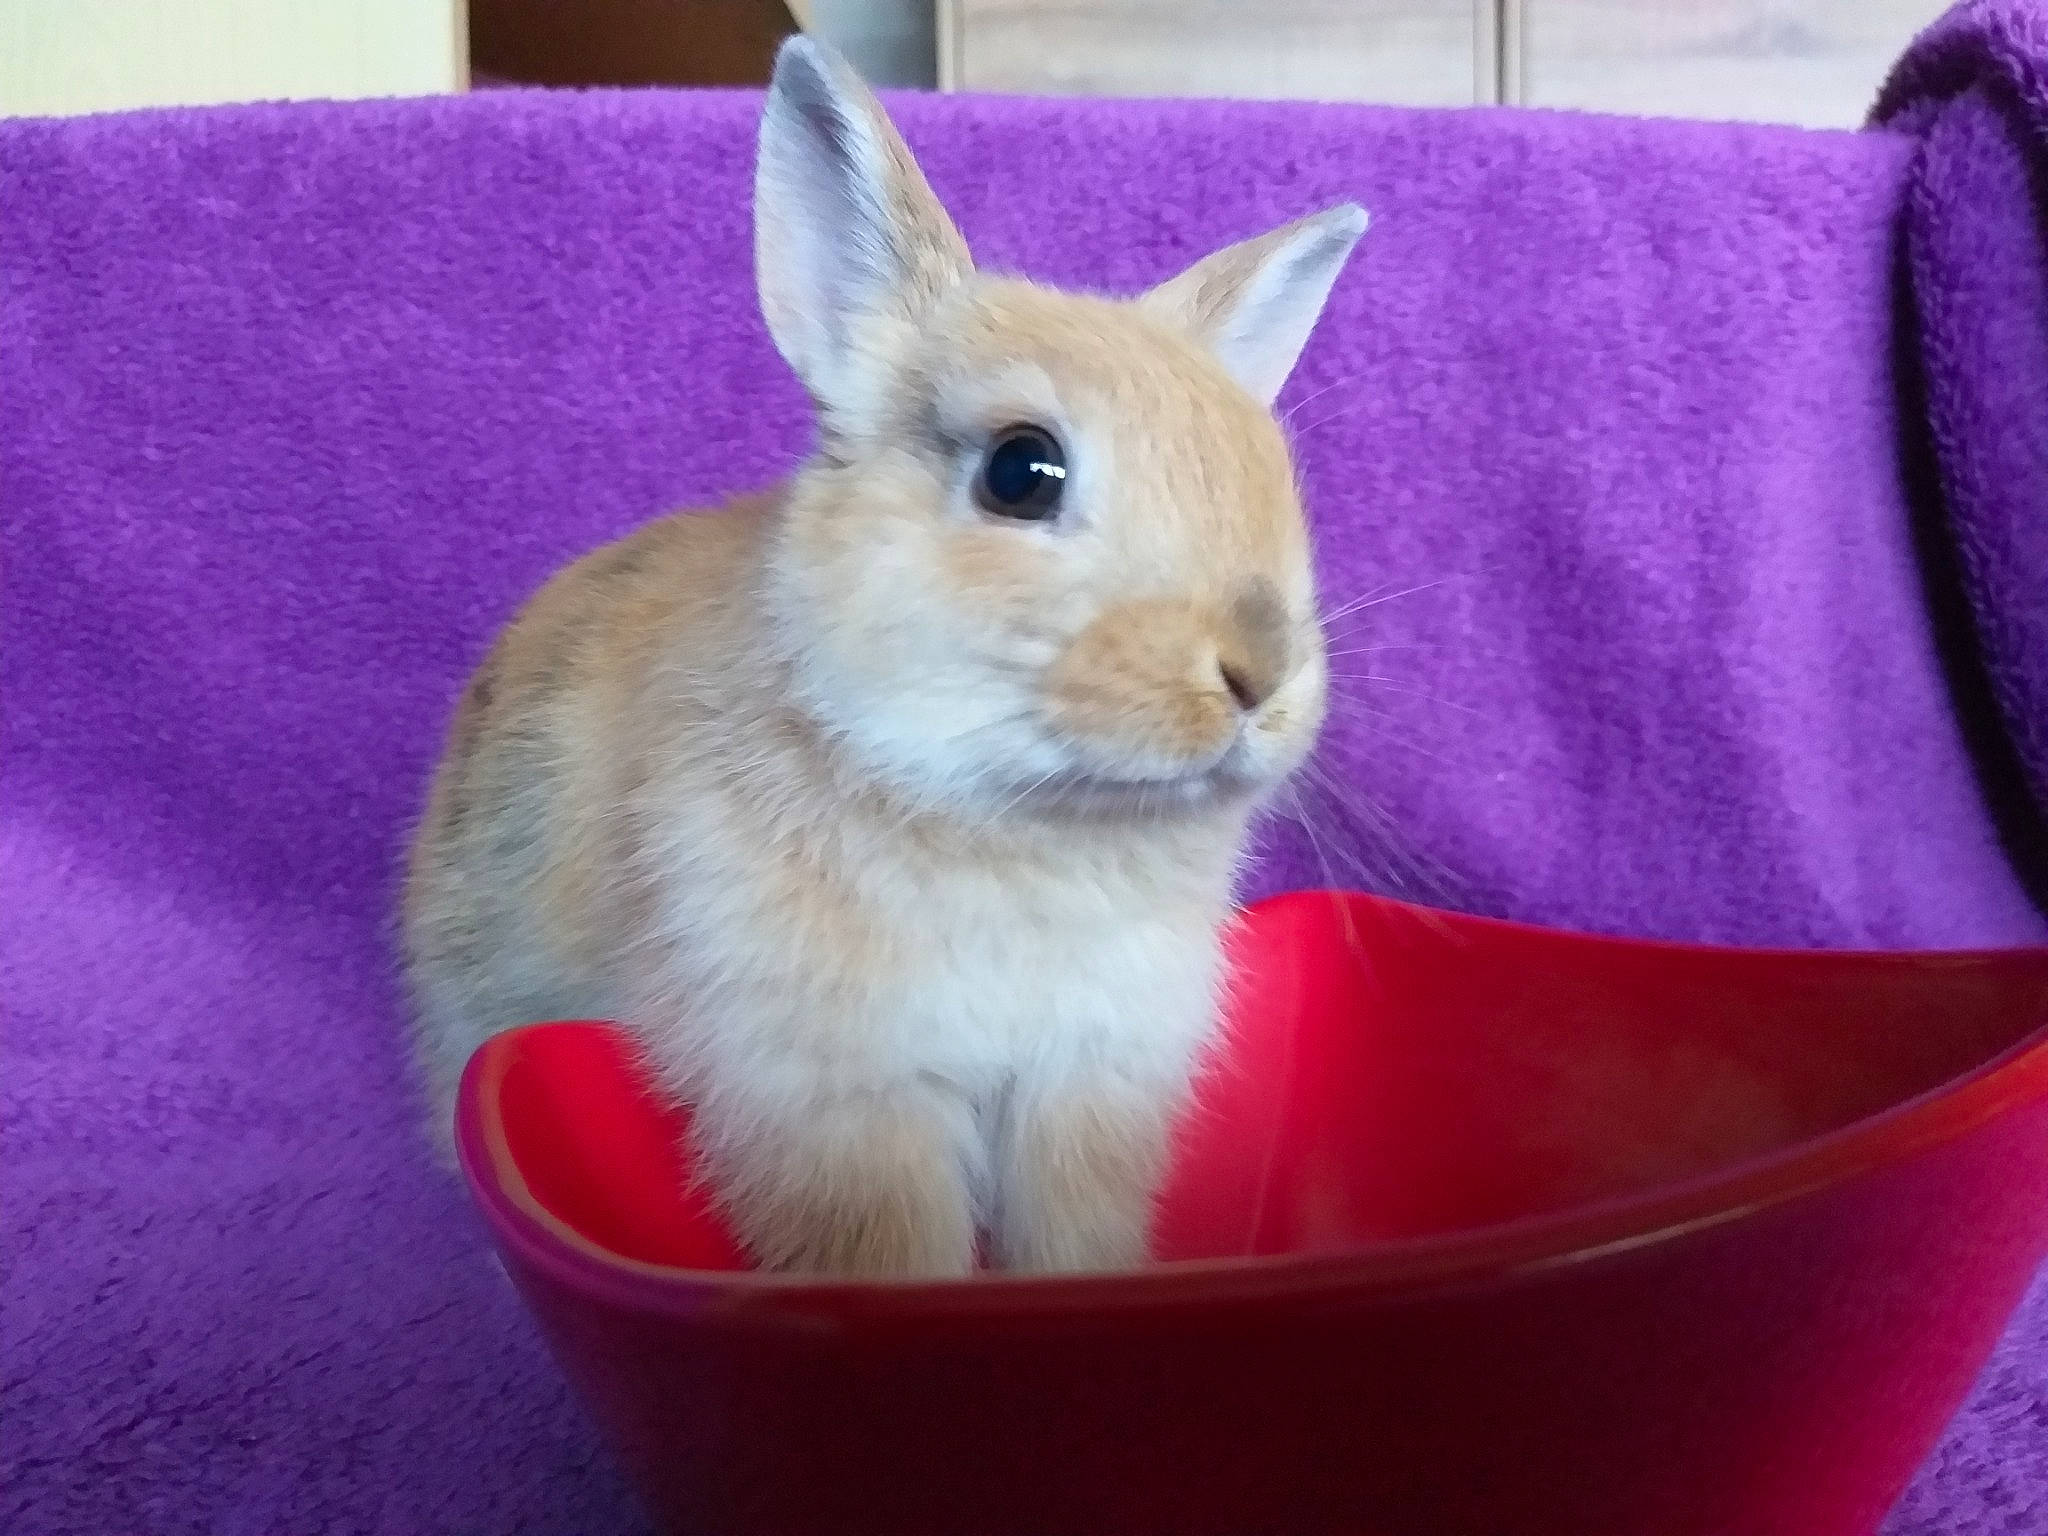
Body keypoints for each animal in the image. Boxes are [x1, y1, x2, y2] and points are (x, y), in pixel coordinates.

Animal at [402, 35, 1365, 1278]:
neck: (1027, 826)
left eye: (1273, 476)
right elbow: (890, 1255)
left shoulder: (1088, 1085)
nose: (1259, 670)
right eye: (1019, 472)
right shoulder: (840, 1103)